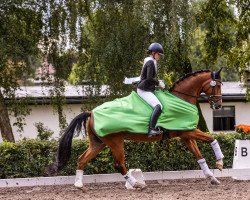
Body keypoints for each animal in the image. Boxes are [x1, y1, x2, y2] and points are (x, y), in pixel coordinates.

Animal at [47, 69, 224, 189]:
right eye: (216, 85)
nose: (218, 105)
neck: (181, 98)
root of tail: (92, 112)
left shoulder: (185, 134)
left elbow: (199, 156)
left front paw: (212, 178)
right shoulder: (189, 132)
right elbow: (212, 138)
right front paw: (220, 163)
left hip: (98, 143)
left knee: (82, 159)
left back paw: (79, 185)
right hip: (115, 141)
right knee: (119, 164)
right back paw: (136, 184)